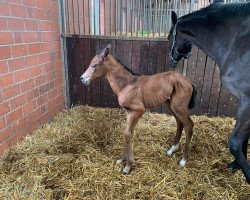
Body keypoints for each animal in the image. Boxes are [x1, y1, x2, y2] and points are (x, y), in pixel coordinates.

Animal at [81, 44, 196, 174]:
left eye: (94, 65)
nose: (82, 79)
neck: (126, 84)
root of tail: (189, 81)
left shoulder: (138, 110)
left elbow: (128, 134)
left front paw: (128, 166)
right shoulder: (129, 112)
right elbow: (127, 133)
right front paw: (122, 160)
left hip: (178, 106)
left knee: (188, 126)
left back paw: (183, 160)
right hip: (171, 106)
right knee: (181, 123)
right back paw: (172, 149)